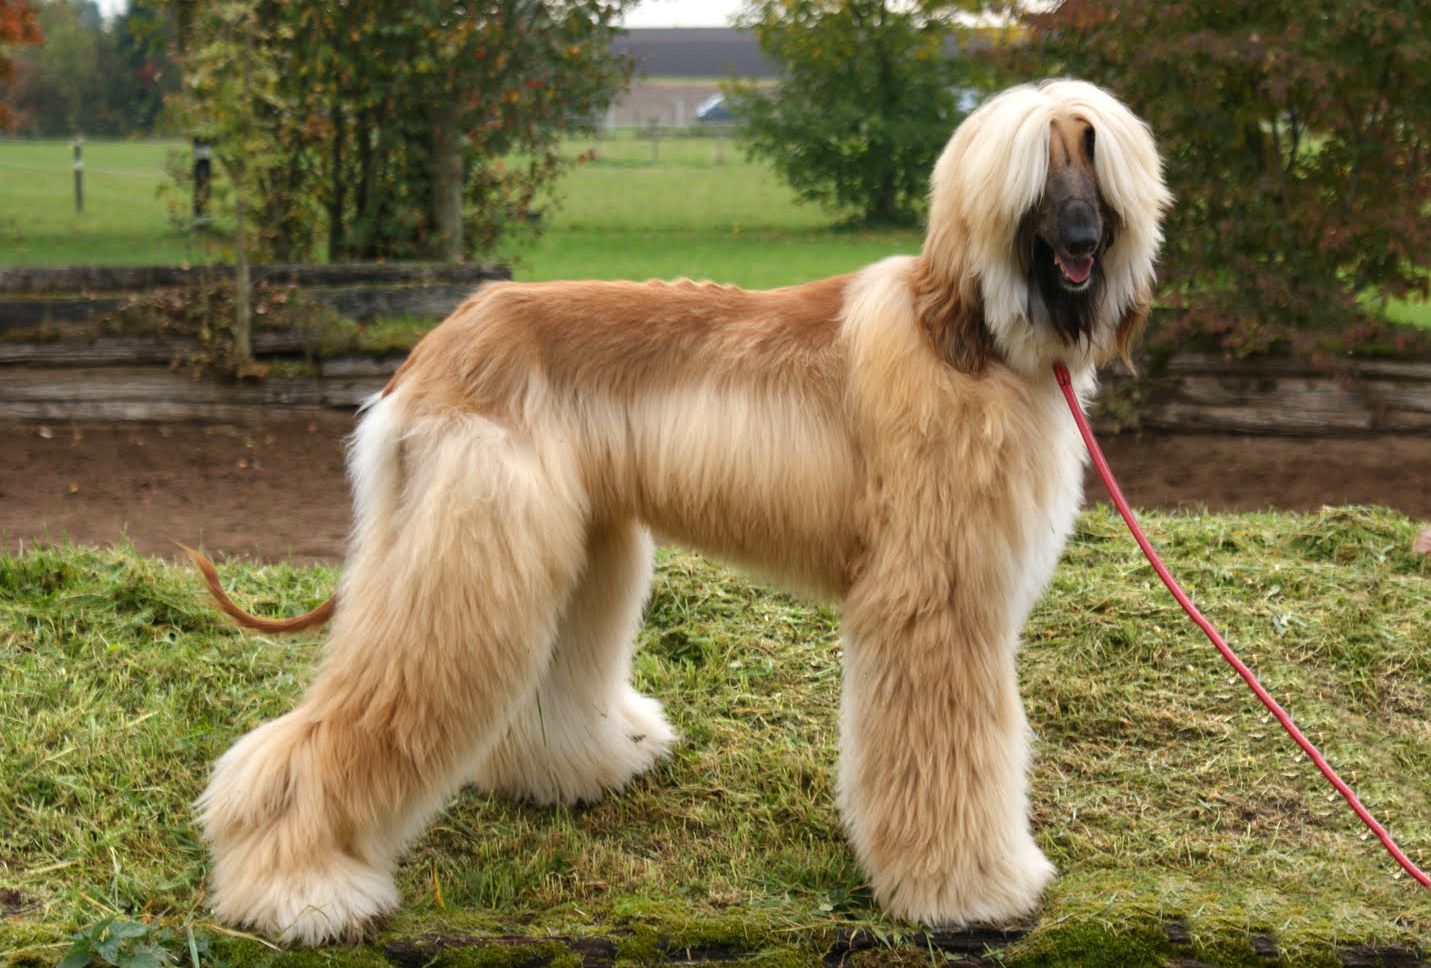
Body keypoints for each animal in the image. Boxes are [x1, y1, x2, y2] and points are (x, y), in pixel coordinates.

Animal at [191, 78, 1170, 945]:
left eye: (1093, 151)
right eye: (1041, 166)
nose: (1083, 239)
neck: (970, 339)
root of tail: (431, 348)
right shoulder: (933, 599)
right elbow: (951, 751)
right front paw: (971, 889)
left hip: (567, 541)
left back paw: (579, 768)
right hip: (475, 546)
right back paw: (299, 886)